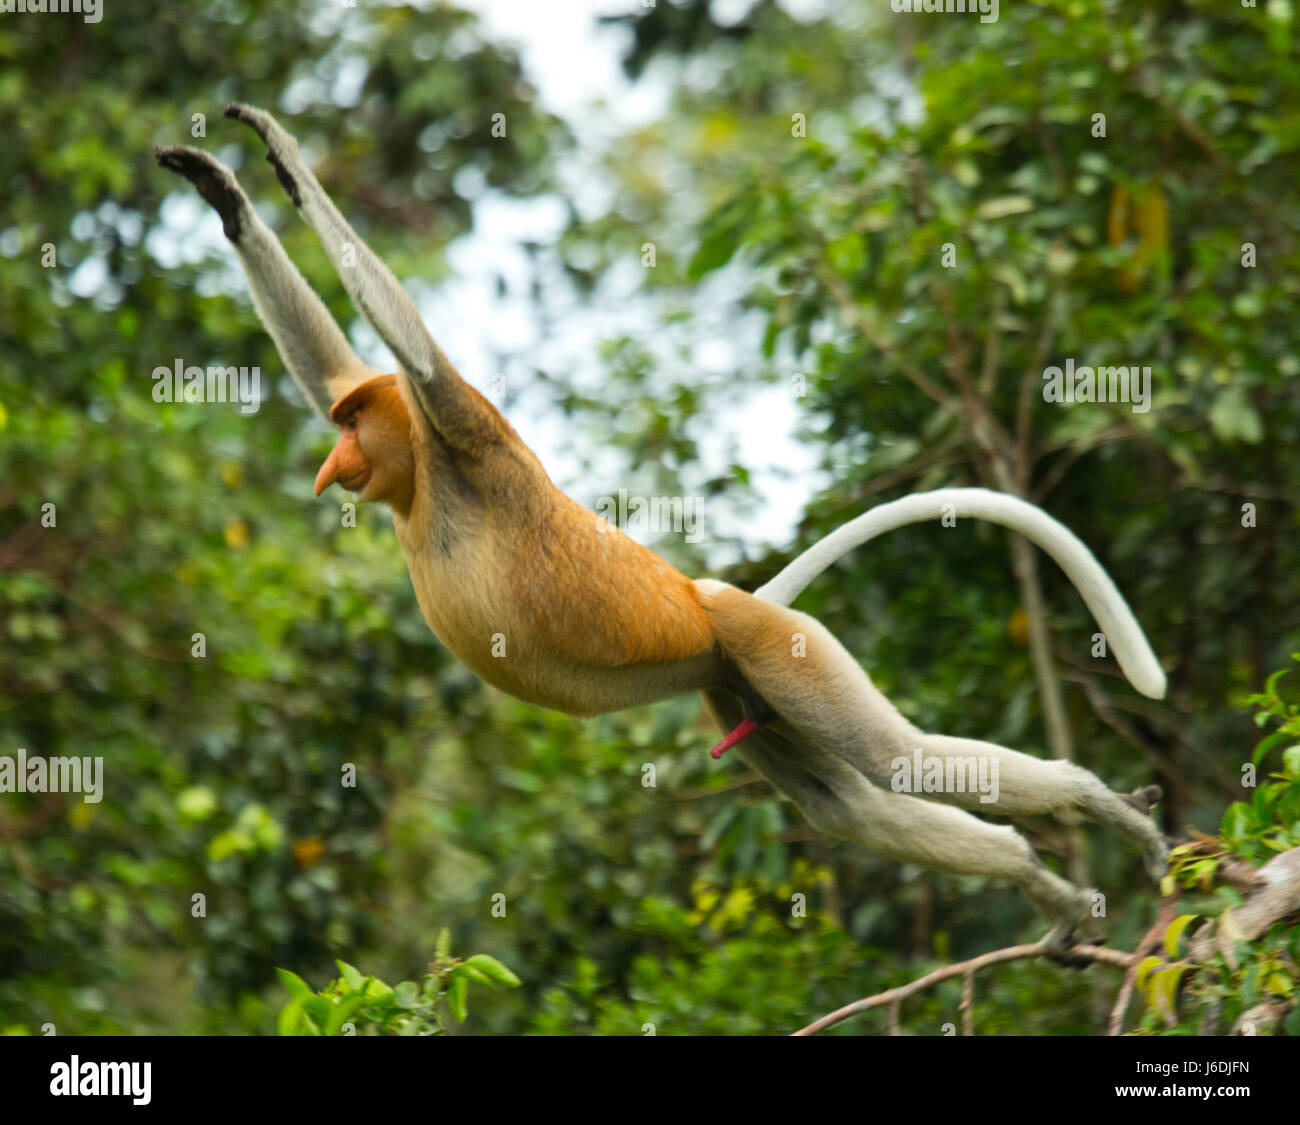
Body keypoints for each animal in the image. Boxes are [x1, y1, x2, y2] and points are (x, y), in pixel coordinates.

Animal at [156, 105, 1168, 951]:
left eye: (352, 428)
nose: (334, 464)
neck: (425, 492)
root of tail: (716, 598)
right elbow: (328, 358)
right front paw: (224, 193)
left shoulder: (472, 434)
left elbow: (418, 352)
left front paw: (280, 157)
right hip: (735, 681)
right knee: (850, 806)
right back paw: (1045, 883)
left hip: (777, 647)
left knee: (898, 760)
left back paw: (1101, 809)